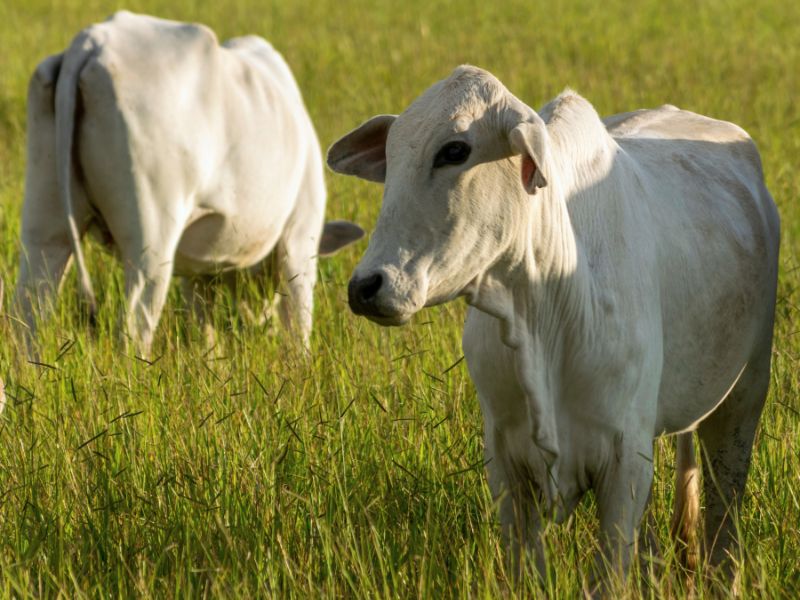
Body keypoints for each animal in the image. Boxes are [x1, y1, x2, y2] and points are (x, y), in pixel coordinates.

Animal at [14, 11, 362, 352]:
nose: (262, 323)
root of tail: (91, 43)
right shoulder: (301, 235)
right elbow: (299, 328)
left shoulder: (198, 271)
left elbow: (205, 332)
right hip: (151, 240)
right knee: (132, 329)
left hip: (45, 224)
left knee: (30, 314)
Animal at [326, 65, 780, 580]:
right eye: (391, 153)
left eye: (455, 151)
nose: (366, 286)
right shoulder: (505, 461)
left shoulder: (625, 462)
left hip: (742, 401)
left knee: (723, 528)